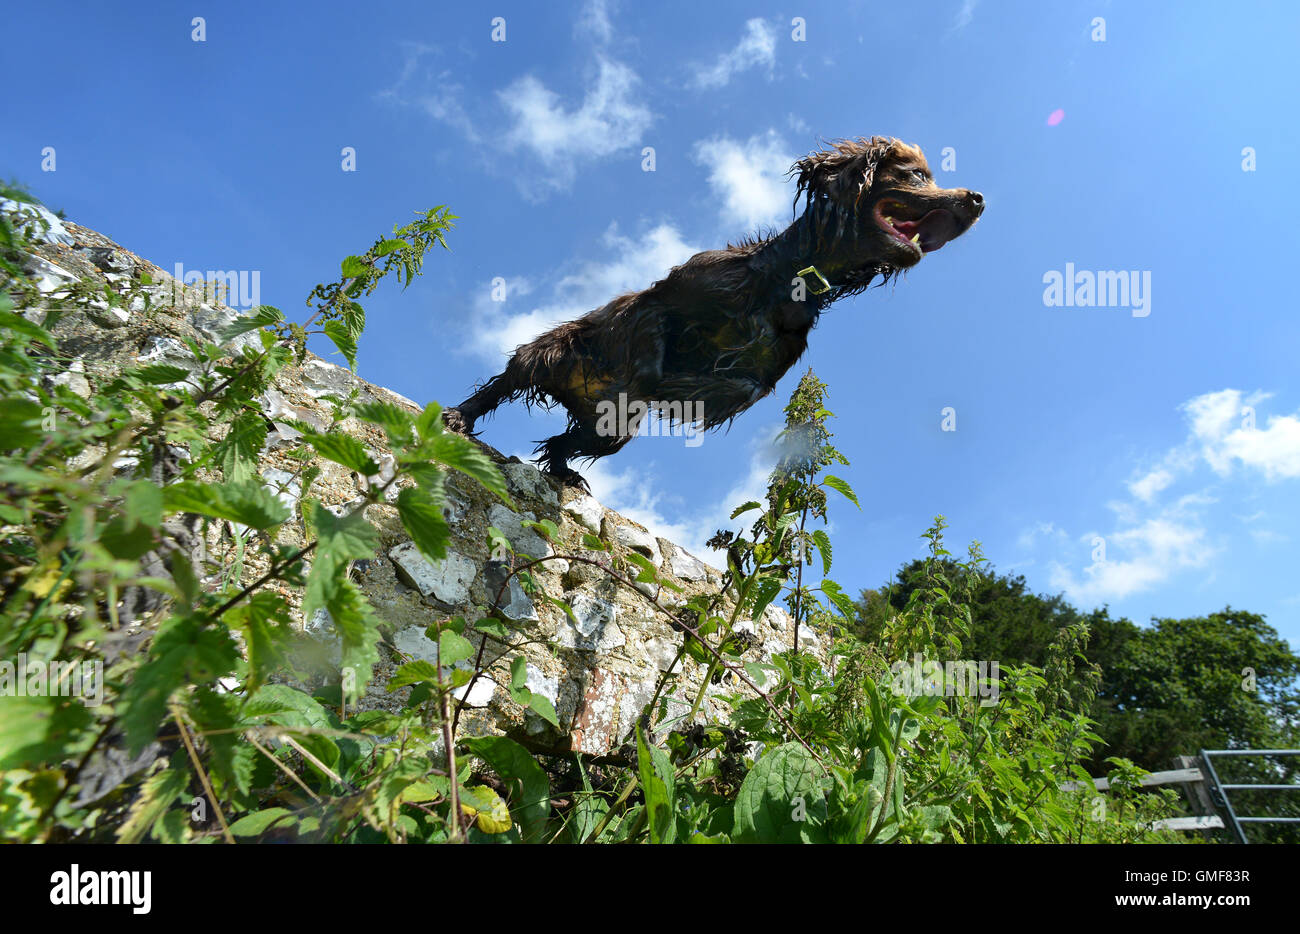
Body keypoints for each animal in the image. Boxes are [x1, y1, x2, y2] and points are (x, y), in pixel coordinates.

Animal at [441, 141, 977, 489]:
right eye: (915, 175)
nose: (977, 199)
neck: (781, 279)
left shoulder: (765, 371)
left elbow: (735, 387)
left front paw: (686, 390)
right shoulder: (663, 301)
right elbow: (651, 354)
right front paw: (662, 379)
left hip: (610, 433)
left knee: (562, 441)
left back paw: (565, 470)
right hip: (549, 352)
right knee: (502, 385)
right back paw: (459, 417)